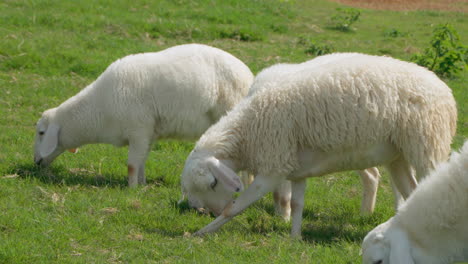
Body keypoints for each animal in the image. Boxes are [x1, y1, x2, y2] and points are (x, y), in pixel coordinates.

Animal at [33, 43, 254, 187]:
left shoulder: (138, 130)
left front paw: (130, 189)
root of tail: (248, 75)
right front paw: (142, 185)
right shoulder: (148, 133)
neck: (98, 111)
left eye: (42, 132)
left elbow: (132, 164)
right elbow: (141, 162)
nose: (35, 162)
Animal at [179, 53, 458, 237]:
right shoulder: (295, 170)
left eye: (212, 183)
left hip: (427, 146)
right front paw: (294, 238)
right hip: (397, 156)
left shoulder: (273, 168)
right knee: (412, 191)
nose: (201, 211)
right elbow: (296, 204)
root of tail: (445, 90)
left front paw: (201, 233)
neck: (250, 130)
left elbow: (236, 207)